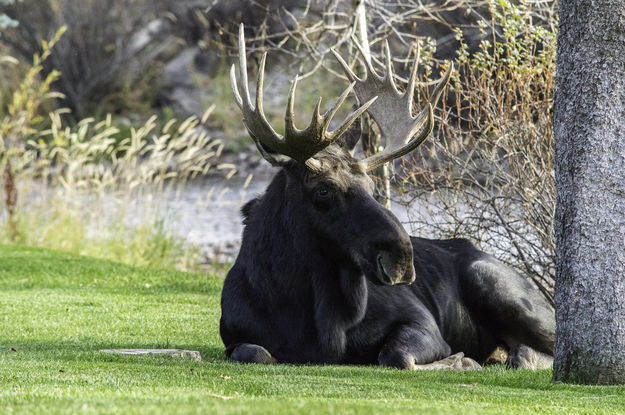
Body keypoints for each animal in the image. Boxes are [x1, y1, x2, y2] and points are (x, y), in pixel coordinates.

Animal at [219, 24, 552, 370]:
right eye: (323, 189)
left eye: (371, 186)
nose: (402, 259)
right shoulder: (234, 337)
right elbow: (255, 352)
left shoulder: (422, 321)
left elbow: (398, 355)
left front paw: (460, 361)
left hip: (492, 282)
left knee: (536, 348)